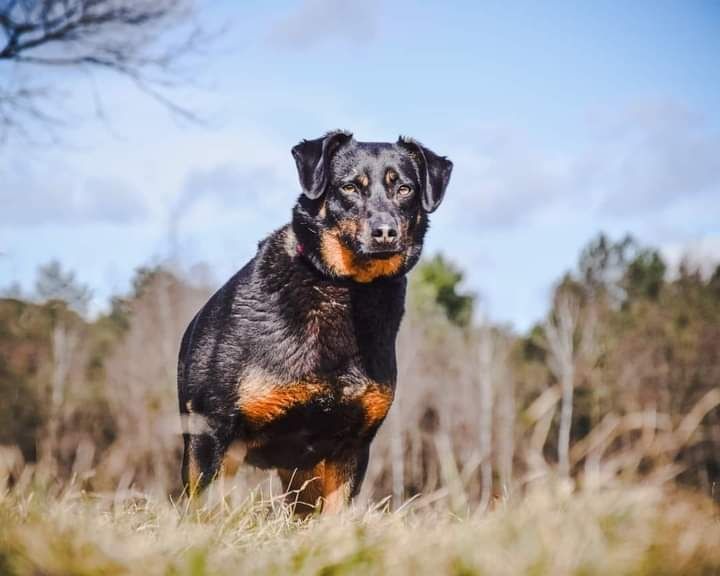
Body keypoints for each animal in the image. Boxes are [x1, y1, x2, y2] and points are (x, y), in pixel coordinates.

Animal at [178, 132, 452, 512]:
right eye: (349, 187)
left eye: (404, 189)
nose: (385, 231)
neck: (345, 289)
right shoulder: (212, 429)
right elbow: (202, 510)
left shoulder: (351, 445)